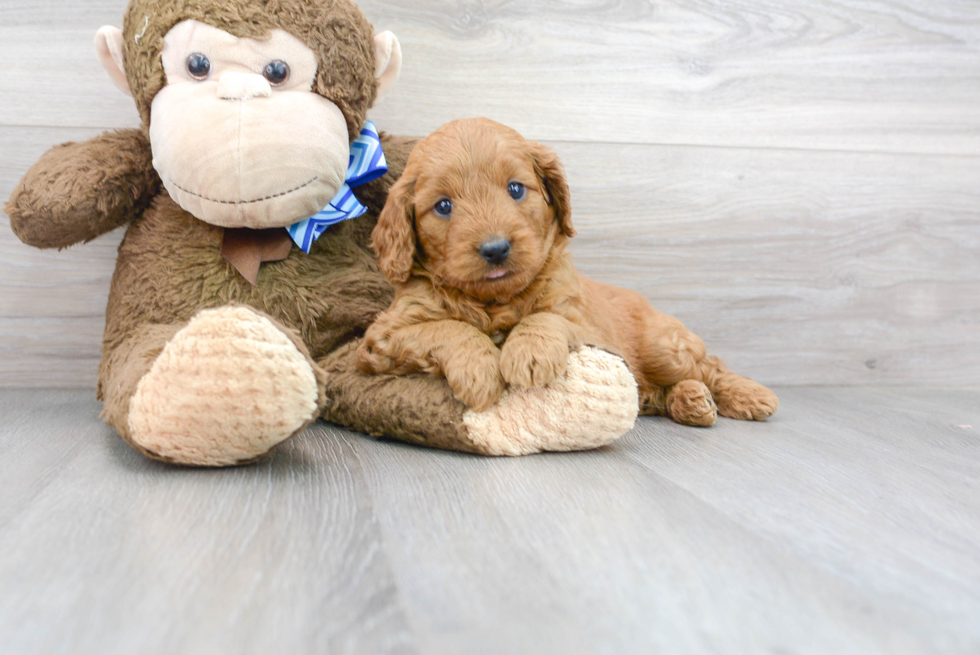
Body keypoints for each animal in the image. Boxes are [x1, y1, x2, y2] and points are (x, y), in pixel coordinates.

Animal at [356, 117, 776, 426]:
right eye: (443, 206)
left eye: (515, 189)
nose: (495, 249)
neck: (494, 301)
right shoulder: (382, 337)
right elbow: (445, 328)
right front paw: (479, 371)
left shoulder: (587, 326)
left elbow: (546, 318)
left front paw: (528, 353)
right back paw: (690, 400)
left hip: (663, 348)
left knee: (709, 366)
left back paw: (749, 395)